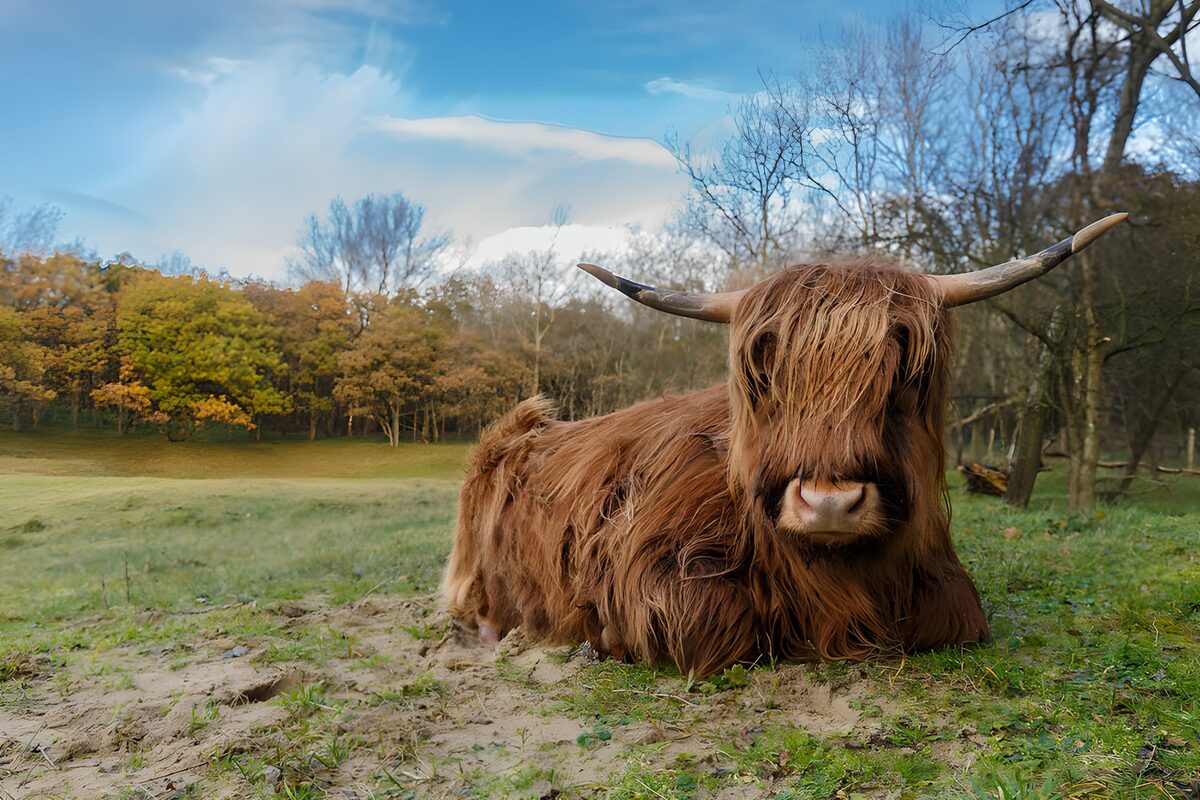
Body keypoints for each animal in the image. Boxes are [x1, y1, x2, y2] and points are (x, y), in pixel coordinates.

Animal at [442, 214, 1126, 677]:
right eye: (766, 372)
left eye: (903, 372)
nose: (829, 503)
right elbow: (708, 619)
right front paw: (605, 636)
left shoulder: (942, 584)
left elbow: (959, 614)